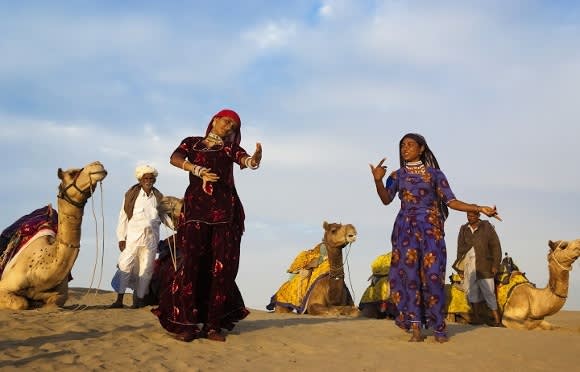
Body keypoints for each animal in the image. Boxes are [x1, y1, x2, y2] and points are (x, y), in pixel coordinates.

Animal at [0, 161, 107, 310]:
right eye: (72, 173)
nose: (98, 164)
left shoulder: (60, 295)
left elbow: (54, 302)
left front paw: (37, 303)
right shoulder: (4, 286)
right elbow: (21, 303)